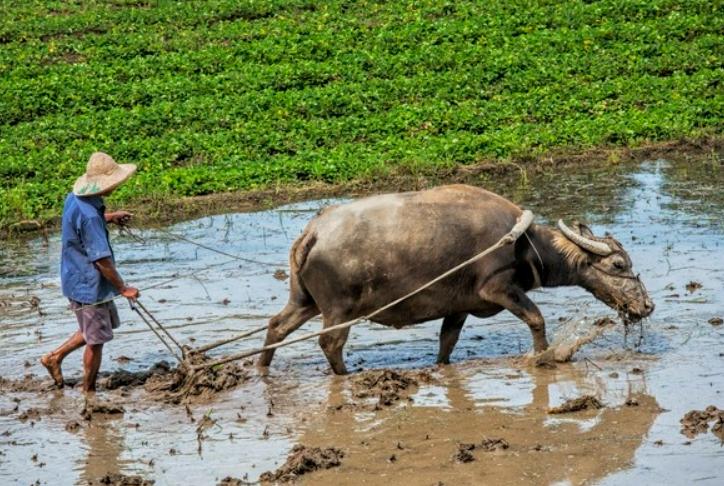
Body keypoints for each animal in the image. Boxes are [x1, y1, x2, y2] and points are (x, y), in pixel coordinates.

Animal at [262, 184, 656, 374]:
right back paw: (344, 375)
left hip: (304, 301)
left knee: (277, 325)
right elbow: (536, 318)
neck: (523, 243)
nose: (647, 305)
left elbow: (447, 341)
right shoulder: (499, 288)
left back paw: (262, 367)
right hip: (339, 310)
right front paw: (544, 356)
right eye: (619, 264)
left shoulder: (459, 306)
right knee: (330, 343)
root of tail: (313, 232)